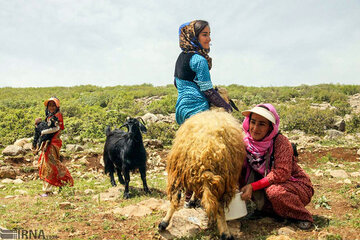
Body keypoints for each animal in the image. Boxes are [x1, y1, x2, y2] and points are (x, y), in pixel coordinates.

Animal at [159, 109, 246, 239]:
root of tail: (205, 153)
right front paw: (193, 201)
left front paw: (192, 200)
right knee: (218, 207)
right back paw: (225, 233)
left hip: (180, 171)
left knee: (175, 198)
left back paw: (164, 223)